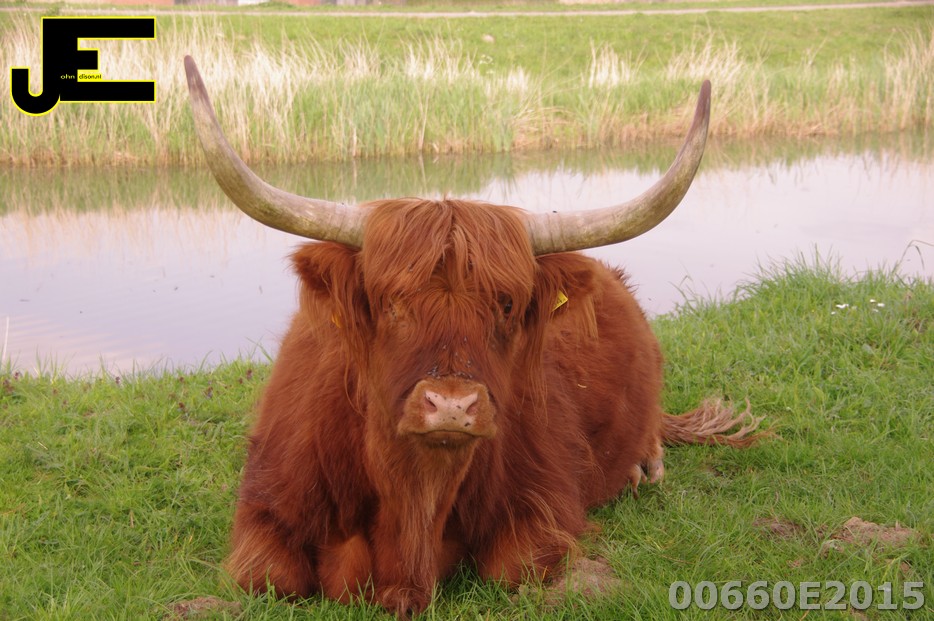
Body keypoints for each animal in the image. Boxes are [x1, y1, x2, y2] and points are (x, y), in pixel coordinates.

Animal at [183, 56, 763, 617]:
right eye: (391, 302)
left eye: (505, 304)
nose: (452, 406)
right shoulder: (266, 509)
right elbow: (269, 578)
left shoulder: (543, 502)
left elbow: (514, 570)